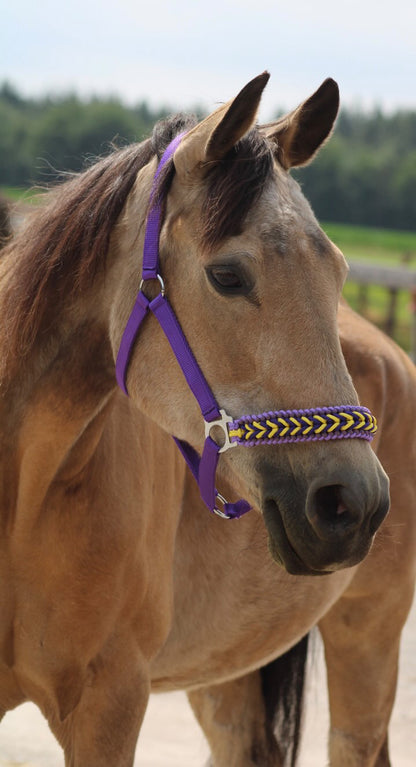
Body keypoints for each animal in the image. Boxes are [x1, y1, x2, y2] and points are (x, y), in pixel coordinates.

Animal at [0, 72, 414, 767]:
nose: (351, 503)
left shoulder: (110, 704)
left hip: (368, 640)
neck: (26, 497)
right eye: (226, 275)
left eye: (338, 272)